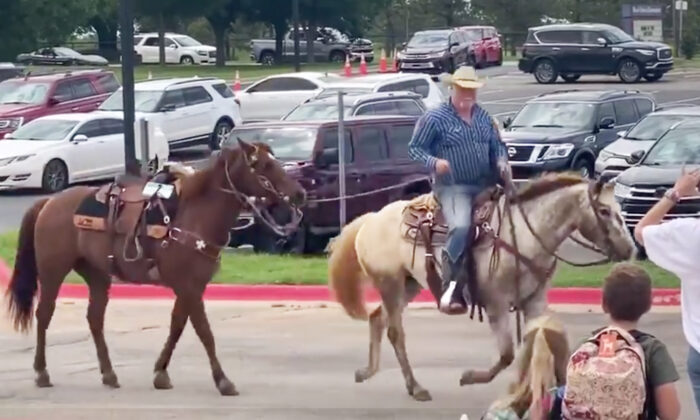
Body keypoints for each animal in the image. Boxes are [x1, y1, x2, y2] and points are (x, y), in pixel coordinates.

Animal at [4, 139, 306, 396]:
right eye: (263, 165)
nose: (300, 193)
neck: (194, 215)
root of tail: (49, 202)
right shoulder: (189, 287)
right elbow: (204, 332)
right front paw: (223, 381)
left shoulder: (191, 287)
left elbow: (177, 326)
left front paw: (160, 373)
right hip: (53, 270)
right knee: (44, 315)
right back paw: (42, 373)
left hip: (97, 273)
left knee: (95, 319)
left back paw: (109, 374)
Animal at [328, 173, 636, 400]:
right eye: (604, 211)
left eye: (619, 209)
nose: (630, 249)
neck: (524, 235)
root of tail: (371, 219)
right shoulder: (496, 303)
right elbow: (507, 354)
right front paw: (470, 378)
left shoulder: (535, 300)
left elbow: (544, 340)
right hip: (390, 283)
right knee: (395, 332)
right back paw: (415, 387)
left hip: (408, 284)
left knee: (377, 318)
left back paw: (368, 371)